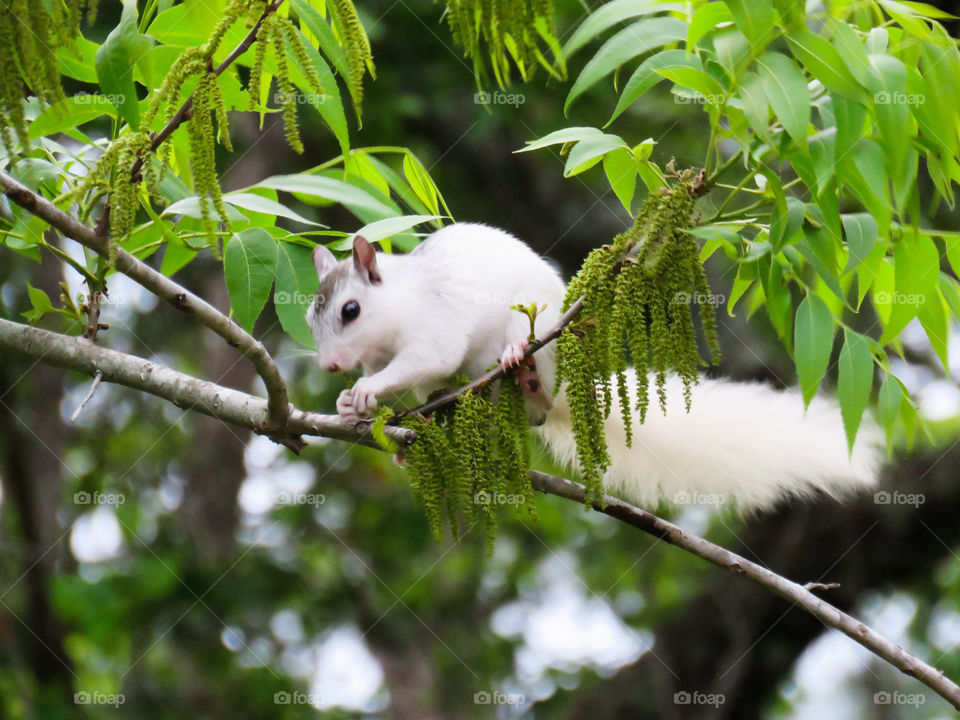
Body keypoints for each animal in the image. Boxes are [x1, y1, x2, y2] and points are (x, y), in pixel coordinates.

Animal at [310, 222, 884, 510]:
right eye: (312, 319)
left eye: (350, 310)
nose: (331, 366)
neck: (398, 309)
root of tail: (567, 388)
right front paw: (350, 403)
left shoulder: (435, 328)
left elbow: (427, 358)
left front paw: (366, 391)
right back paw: (428, 420)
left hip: (534, 331)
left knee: (527, 367)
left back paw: (518, 363)